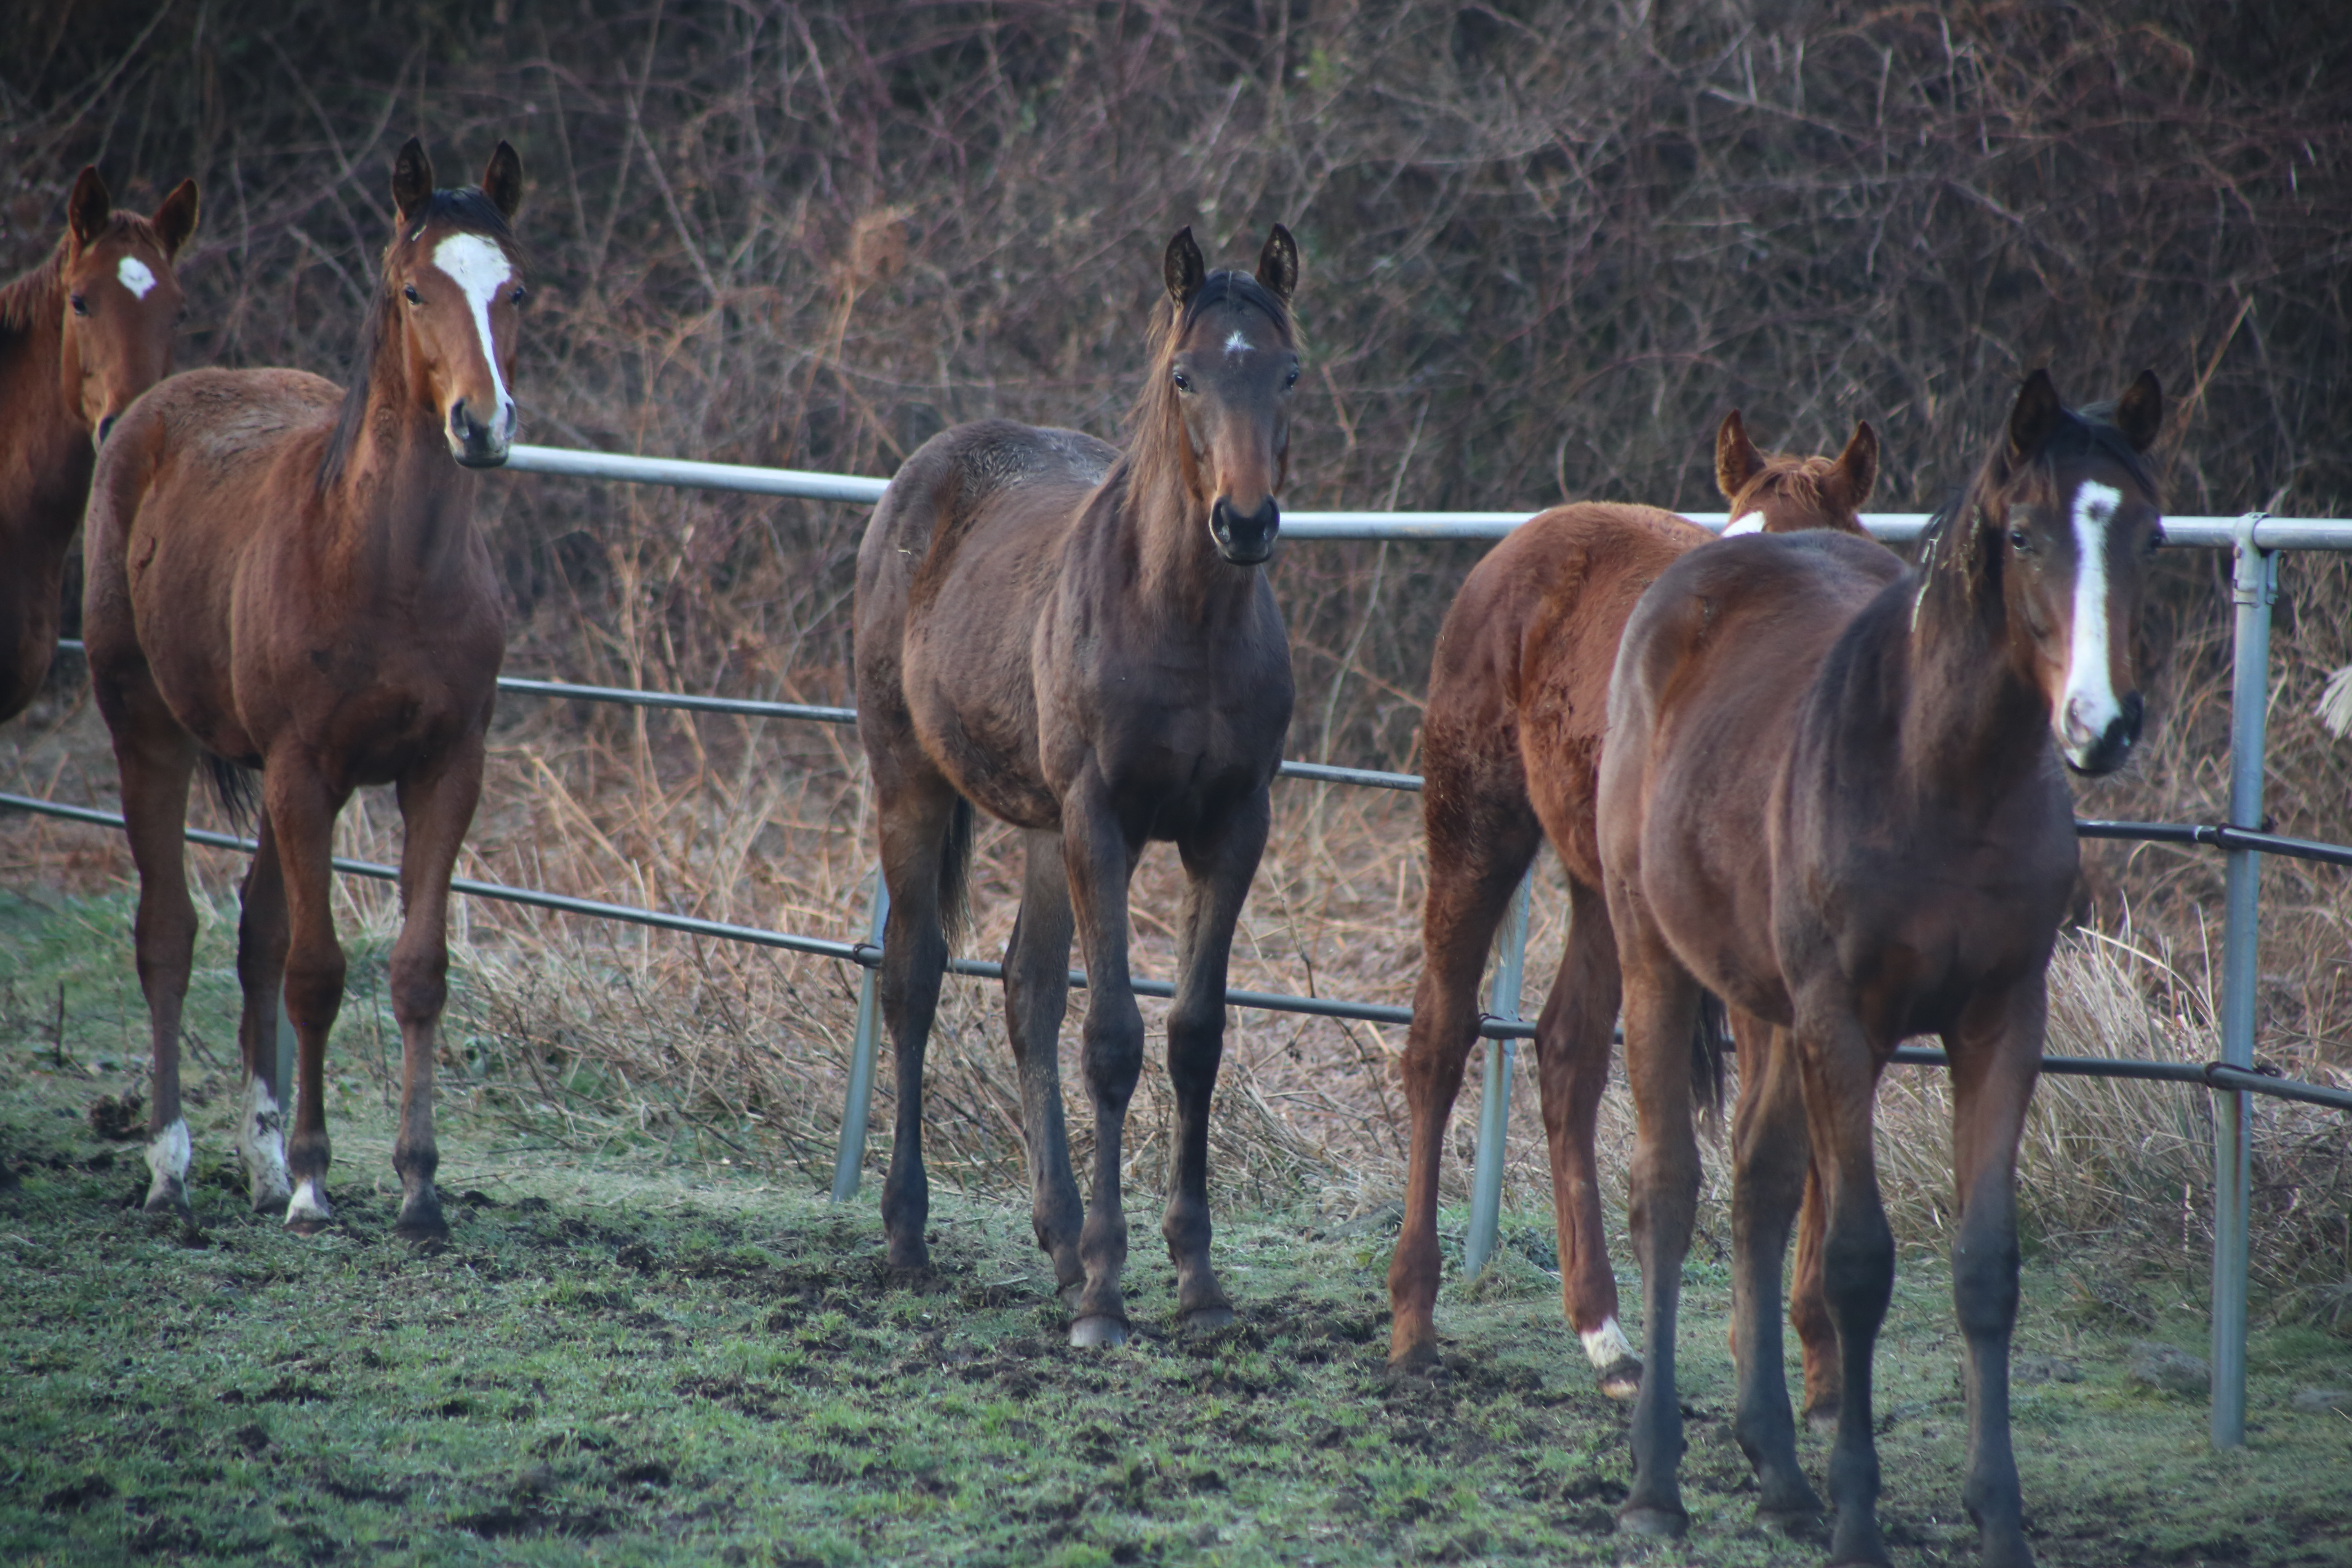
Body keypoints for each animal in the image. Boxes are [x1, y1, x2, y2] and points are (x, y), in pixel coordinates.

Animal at [84, 138, 529, 1241]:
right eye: (414, 291)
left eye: (516, 291)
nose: (482, 424)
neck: (385, 566)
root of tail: (146, 412)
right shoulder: (305, 771)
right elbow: (319, 973)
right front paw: (318, 1184)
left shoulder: (446, 771)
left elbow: (415, 972)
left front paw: (418, 1188)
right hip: (149, 729)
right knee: (169, 934)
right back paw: (171, 1168)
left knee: (253, 936)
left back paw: (258, 1162)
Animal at [851, 221, 1298, 1354]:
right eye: (1184, 375)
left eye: (1288, 373)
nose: (1243, 522)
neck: (1182, 621)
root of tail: (923, 473)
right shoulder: (1106, 822)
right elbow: (1112, 1040)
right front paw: (1106, 1294)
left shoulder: (1230, 829)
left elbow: (1193, 1036)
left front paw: (1196, 1280)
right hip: (910, 782)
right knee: (914, 976)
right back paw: (910, 1235)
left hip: (1047, 829)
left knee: (1026, 988)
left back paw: (1054, 1239)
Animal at [1373, 411, 1872, 1401]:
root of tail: (1521, 544)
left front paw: (1817, 1359)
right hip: (1476, 833)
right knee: (1439, 1041)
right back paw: (1414, 1317)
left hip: (1604, 892)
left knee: (1566, 1052)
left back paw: (1606, 1337)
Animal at [1590, 371, 2154, 1568]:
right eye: (2022, 534)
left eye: (2151, 534)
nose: (2100, 723)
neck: (1937, 773)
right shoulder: (1841, 1023)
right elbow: (1854, 1262)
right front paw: (1857, 1516)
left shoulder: (2000, 1022)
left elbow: (1984, 1268)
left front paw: (1999, 1521)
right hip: (1657, 957)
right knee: (1668, 1190)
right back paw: (1657, 1484)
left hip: (1764, 1005)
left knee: (1757, 1183)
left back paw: (1778, 1476)